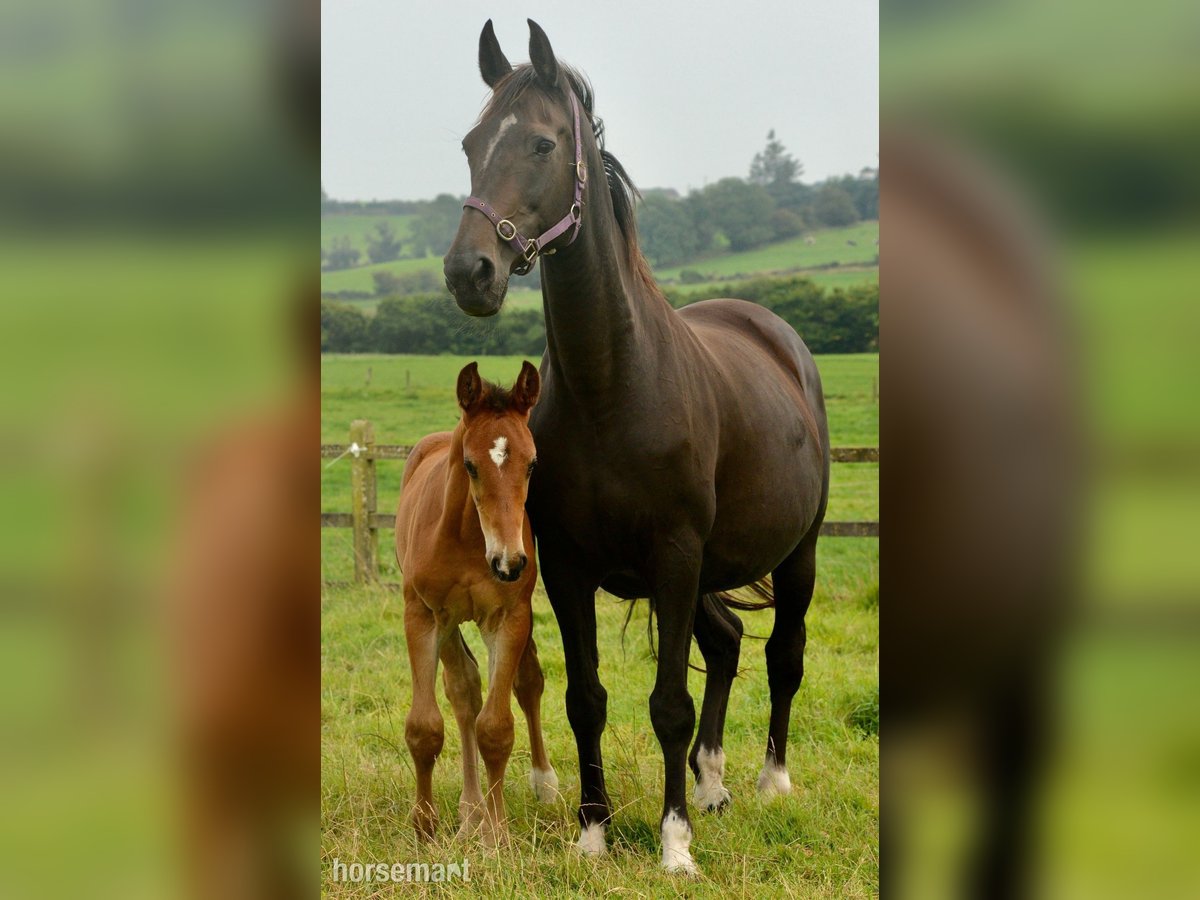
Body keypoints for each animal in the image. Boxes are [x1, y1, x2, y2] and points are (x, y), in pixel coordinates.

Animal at [395, 360, 558, 845]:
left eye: (532, 463)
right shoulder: (423, 615)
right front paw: (424, 824)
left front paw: (497, 833)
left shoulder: (507, 618)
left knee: (526, 683)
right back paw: (469, 811)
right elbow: (425, 726)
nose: (510, 562)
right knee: (463, 689)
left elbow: (496, 727)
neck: (470, 539)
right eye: (470, 465)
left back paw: (539, 786)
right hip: (449, 624)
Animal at [442, 20, 830, 874]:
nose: (469, 271)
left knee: (782, 653)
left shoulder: (676, 556)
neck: (613, 386)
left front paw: (673, 844)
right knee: (727, 643)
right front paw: (592, 832)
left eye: (544, 143)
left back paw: (770, 782)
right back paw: (713, 784)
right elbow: (586, 698)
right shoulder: (568, 567)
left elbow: (668, 704)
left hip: (797, 552)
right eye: (472, 143)